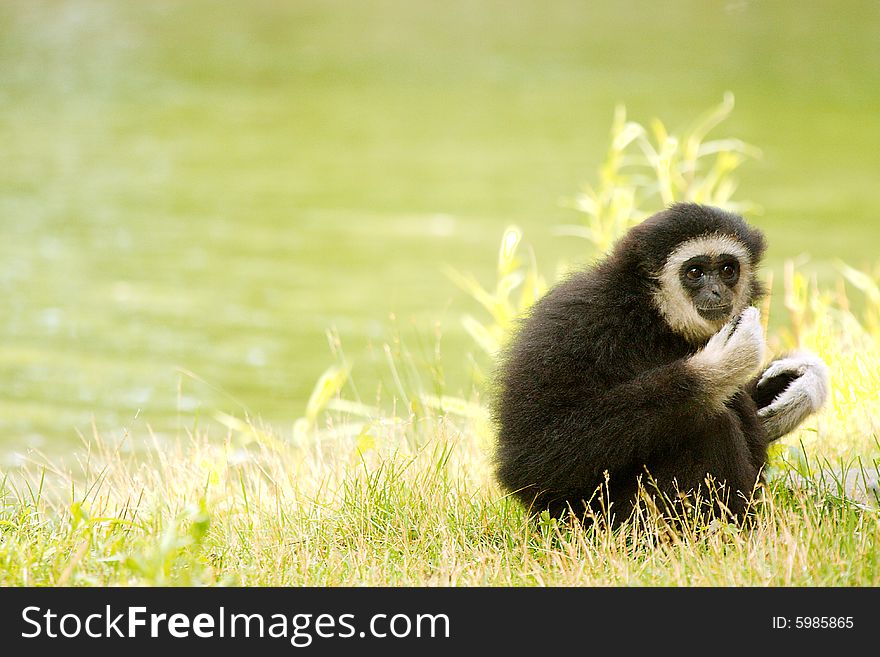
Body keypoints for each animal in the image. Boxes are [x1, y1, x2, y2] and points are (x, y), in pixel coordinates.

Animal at [492, 202, 828, 524]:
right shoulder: (575, 321)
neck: (651, 314)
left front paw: (803, 381)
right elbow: (532, 460)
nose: (717, 290)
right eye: (695, 272)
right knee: (711, 423)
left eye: (727, 269)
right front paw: (714, 368)